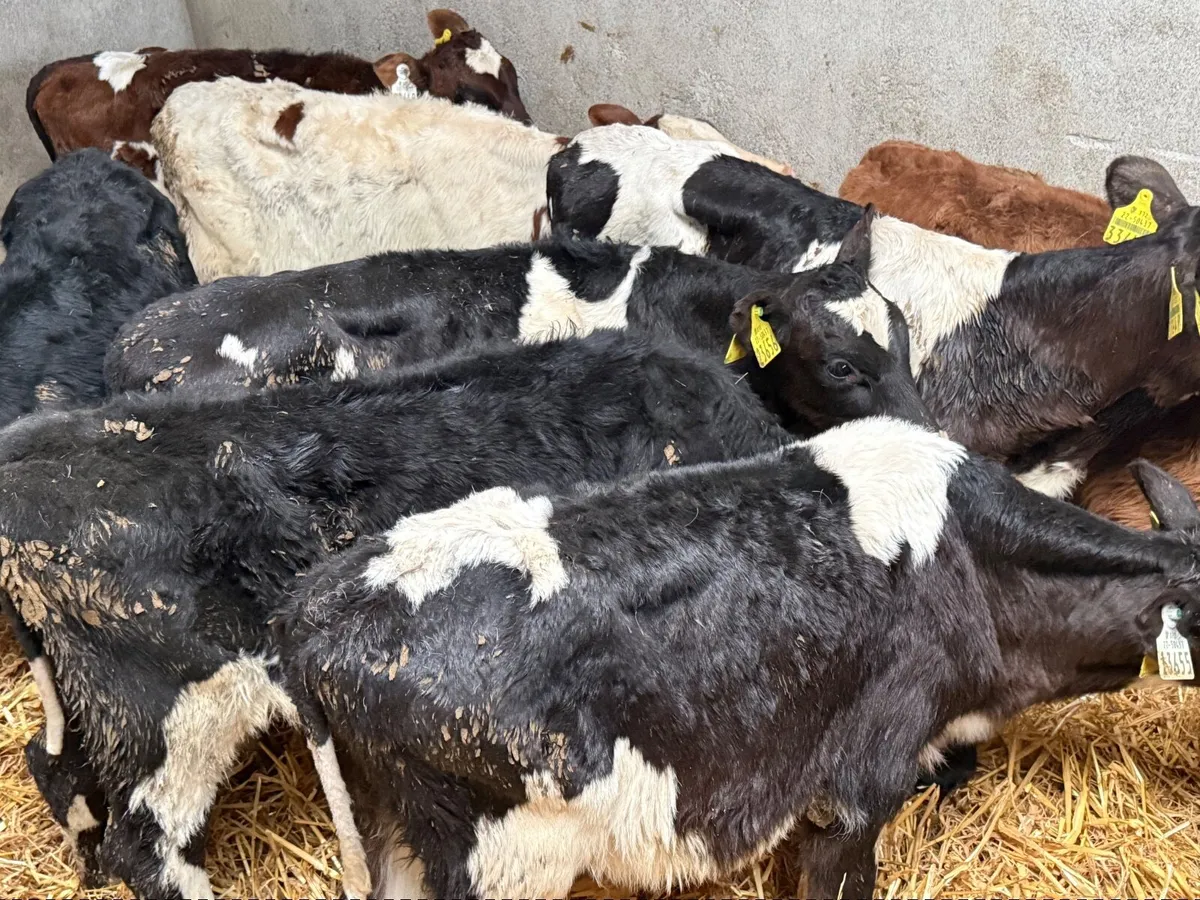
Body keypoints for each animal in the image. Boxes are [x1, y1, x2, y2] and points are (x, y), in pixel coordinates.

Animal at [0, 266, 924, 898]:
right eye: (840, 364)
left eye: (909, 340)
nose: (922, 426)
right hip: (170, 711)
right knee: (147, 846)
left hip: (90, 699)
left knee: (57, 771)